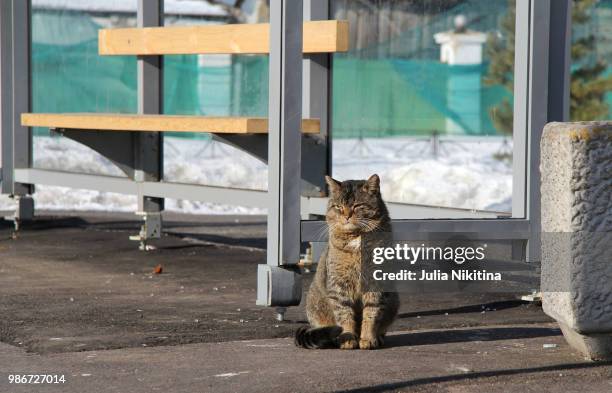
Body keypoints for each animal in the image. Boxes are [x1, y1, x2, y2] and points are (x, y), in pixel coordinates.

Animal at [294, 175, 400, 350]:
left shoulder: (376, 284)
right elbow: (344, 315)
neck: (356, 238)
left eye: (357, 206)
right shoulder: (339, 286)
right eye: (338, 206)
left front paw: (368, 339)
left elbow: (371, 314)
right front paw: (348, 338)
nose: (346, 215)